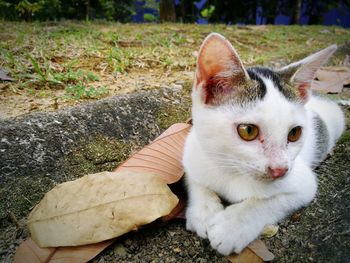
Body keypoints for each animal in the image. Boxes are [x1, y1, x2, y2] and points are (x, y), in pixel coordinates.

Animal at [183, 32, 344, 256]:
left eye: (294, 133)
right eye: (248, 130)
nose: (280, 169)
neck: (231, 170)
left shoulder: (303, 184)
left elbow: (269, 202)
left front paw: (231, 227)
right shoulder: (192, 151)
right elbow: (195, 182)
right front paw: (204, 211)